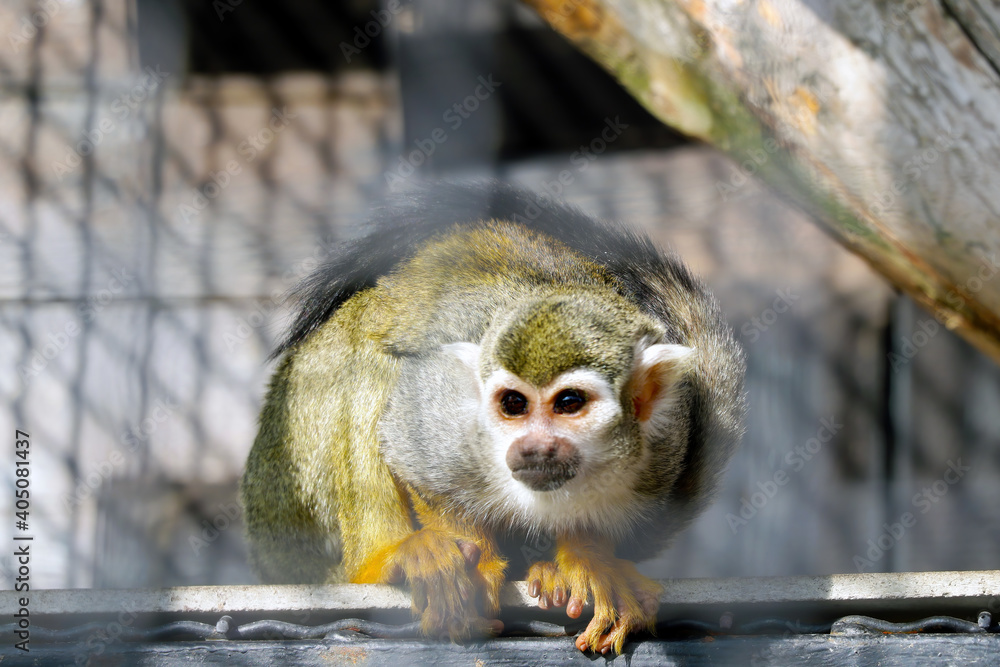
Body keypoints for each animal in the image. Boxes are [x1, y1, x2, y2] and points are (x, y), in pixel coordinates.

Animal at [240, 182, 746, 654]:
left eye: (570, 403)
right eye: (512, 405)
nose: (533, 447)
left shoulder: (664, 445)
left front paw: (589, 560)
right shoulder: (448, 411)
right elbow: (418, 459)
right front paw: (478, 562)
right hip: (286, 489)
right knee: (366, 357)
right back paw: (384, 558)